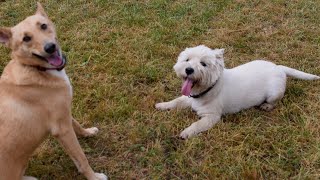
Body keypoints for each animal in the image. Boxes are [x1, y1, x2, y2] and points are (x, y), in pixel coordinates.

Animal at [0, 2, 107, 180]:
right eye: (26, 38)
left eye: (43, 26)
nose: (50, 47)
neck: (36, 69)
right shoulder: (62, 129)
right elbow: (81, 158)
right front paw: (94, 177)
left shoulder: (64, 114)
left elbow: (76, 124)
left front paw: (88, 132)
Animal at [154, 45, 318, 139]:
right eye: (187, 60)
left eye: (203, 64)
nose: (189, 70)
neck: (207, 89)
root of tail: (279, 67)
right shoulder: (188, 98)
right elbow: (176, 101)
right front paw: (161, 105)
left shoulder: (211, 117)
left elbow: (197, 124)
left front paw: (186, 133)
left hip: (274, 93)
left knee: (274, 101)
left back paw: (266, 106)